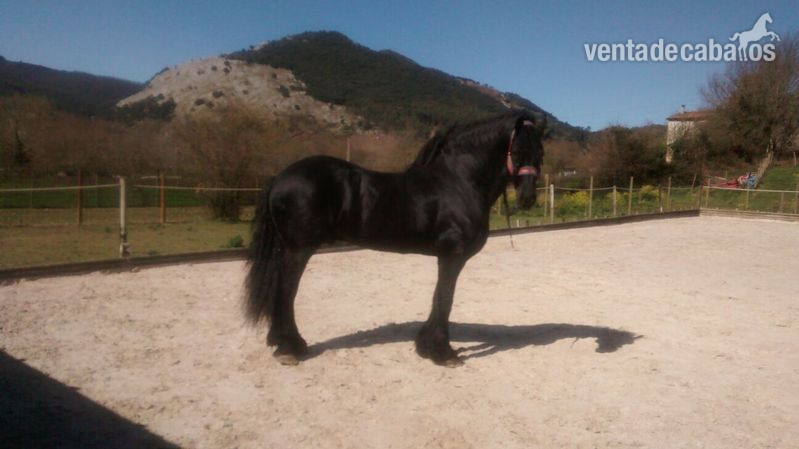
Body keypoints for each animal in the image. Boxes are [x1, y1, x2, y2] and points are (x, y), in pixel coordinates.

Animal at [245, 110, 546, 366]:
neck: (458, 182)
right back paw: (290, 348)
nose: (528, 198)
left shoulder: (446, 257)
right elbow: (445, 297)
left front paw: (426, 346)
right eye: (517, 150)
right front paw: (442, 352)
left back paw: (281, 342)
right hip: (299, 249)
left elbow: (439, 297)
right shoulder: (452, 255)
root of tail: (280, 177)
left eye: (540, 153)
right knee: (287, 290)